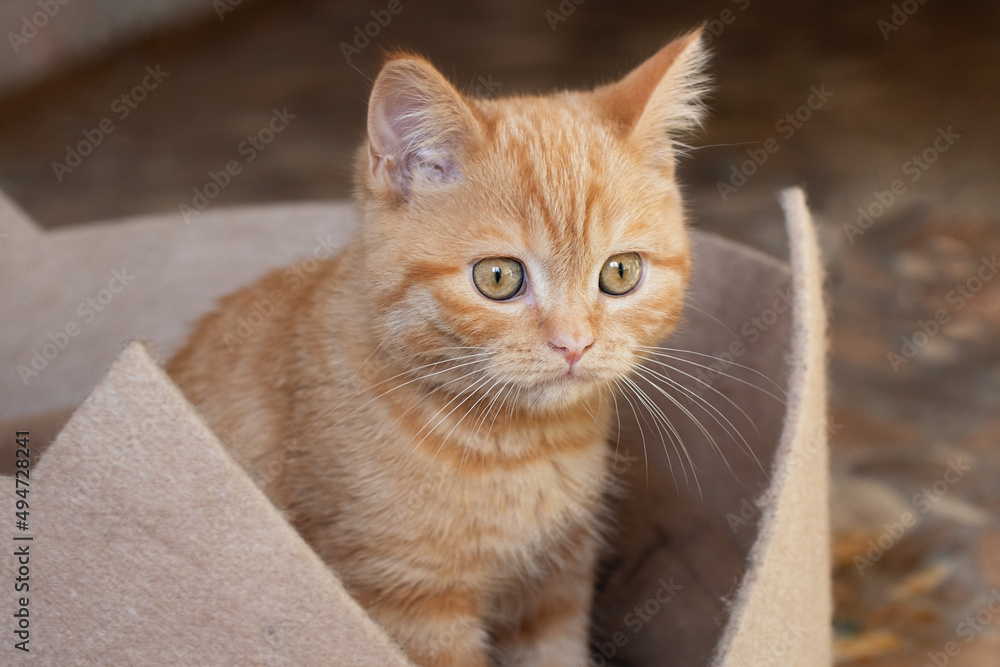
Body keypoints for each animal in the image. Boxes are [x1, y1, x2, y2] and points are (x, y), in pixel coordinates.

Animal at [168, 30, 708, 667]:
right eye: (498, 277)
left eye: (620, 272)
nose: (574, 343)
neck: (521, 449)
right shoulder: (408, 603)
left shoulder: (554, 590)